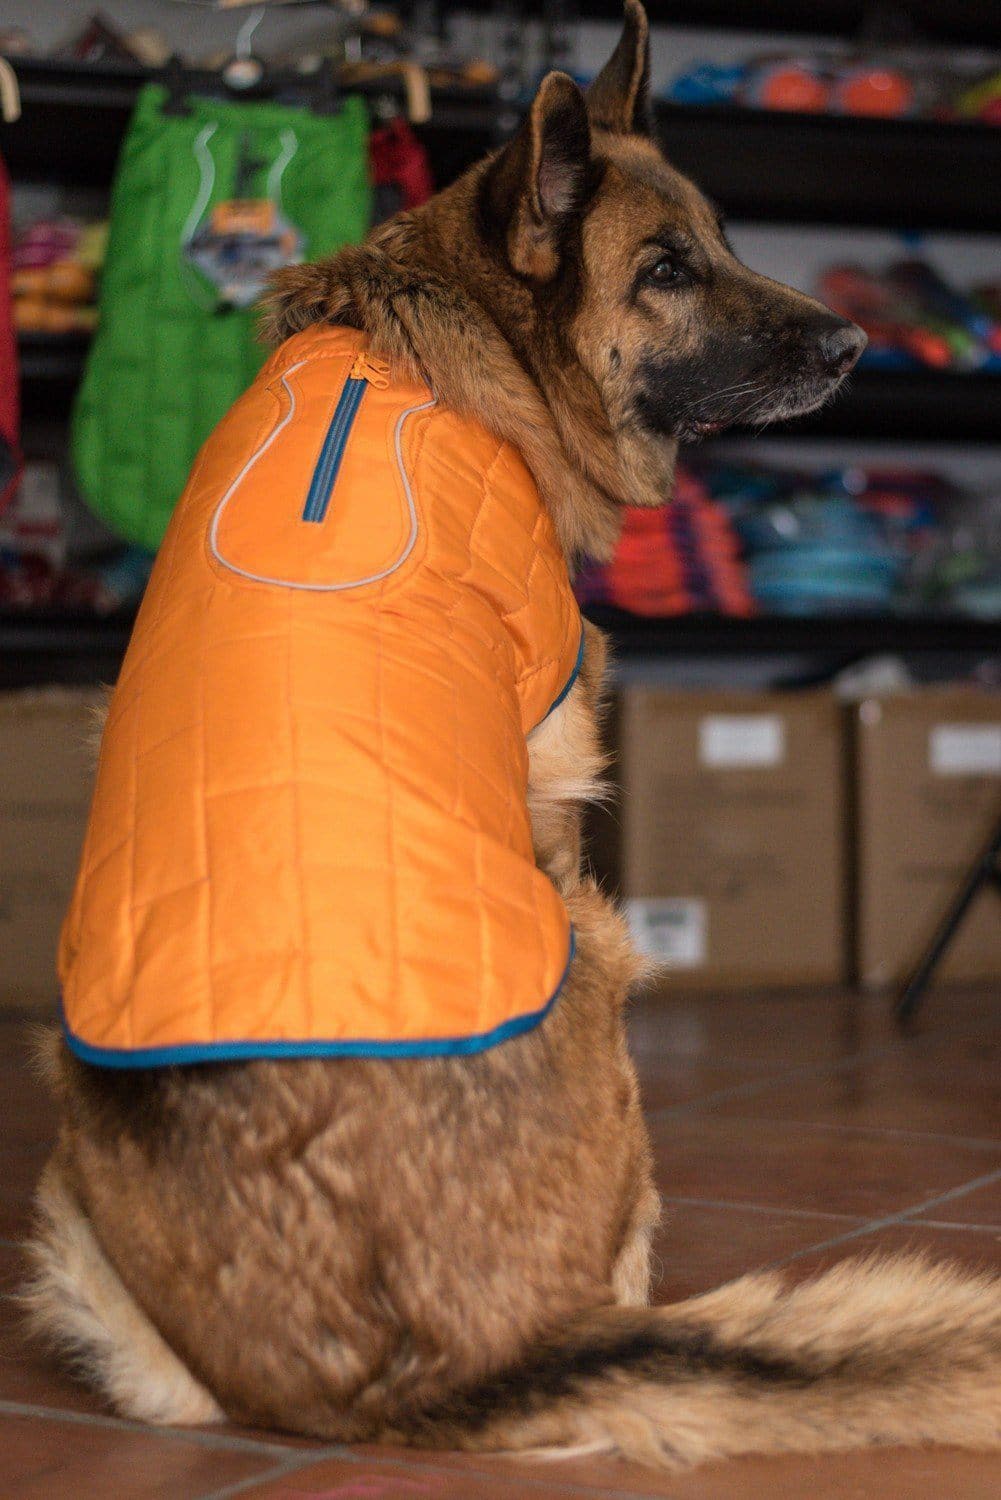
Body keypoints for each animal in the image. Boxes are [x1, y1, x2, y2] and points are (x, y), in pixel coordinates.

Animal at [23, 1, 1001, 1469]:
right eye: (663, 270)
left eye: (722, 241)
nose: (849, 347)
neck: (466, 325)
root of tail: (414, 1383)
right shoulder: (550, 759)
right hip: (596, 945)